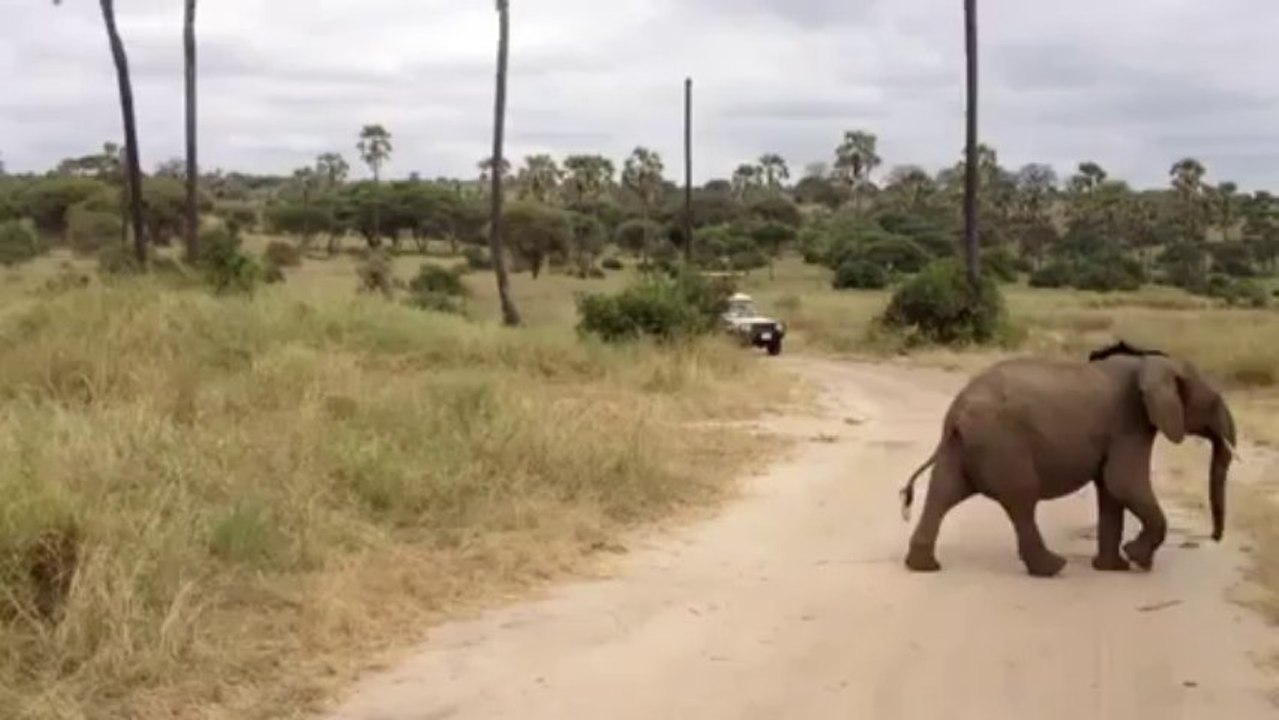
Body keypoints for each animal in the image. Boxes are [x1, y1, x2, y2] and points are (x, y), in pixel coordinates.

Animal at [898, 341, 1240, 578]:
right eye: (1213, 402)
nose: (1213, 537)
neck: (1150, 361)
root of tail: (957, 411)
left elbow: (1111, 490)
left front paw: (1114, 567)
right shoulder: (1130, 423)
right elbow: (1124, 482)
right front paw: (1136, 558)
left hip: (965, 445)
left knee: (943, 493)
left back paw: (923, 566)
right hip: (1002, 443)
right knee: (1022, 499)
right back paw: (1052, 568)